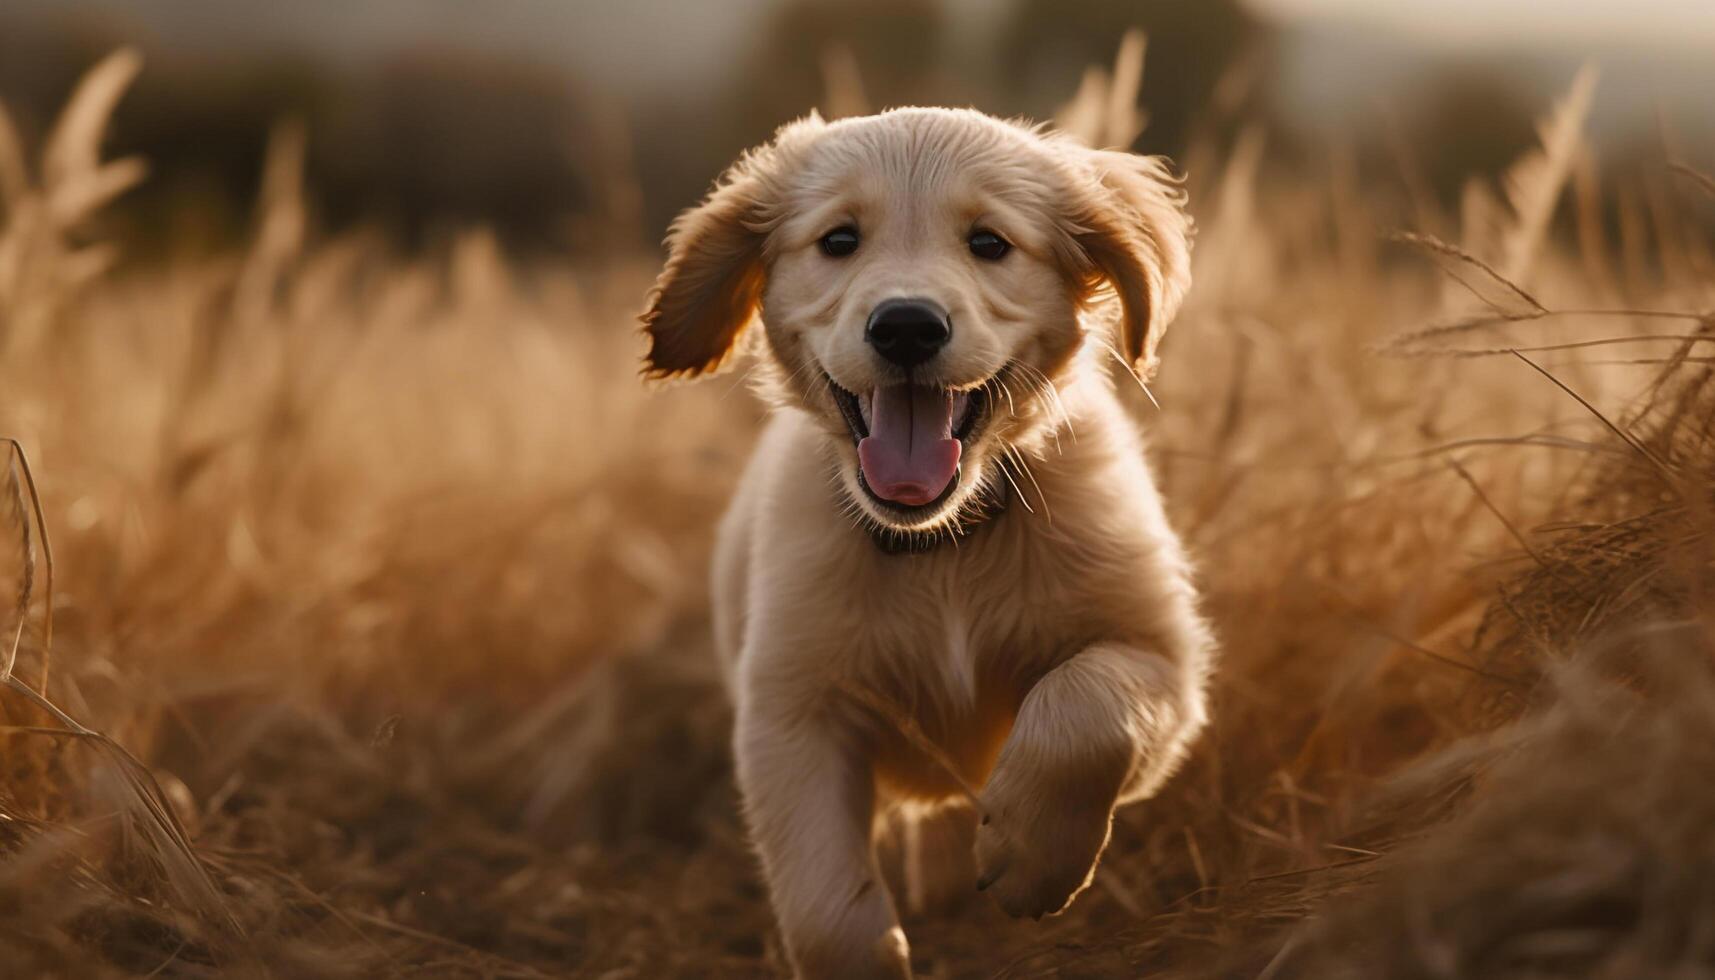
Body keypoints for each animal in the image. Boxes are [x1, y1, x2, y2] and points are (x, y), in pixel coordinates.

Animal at [637, 109, 1214, 980]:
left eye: (989, 243)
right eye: (839, 240)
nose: (905, 326)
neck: (940, 543)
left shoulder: (1163, 660)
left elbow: (1085, 709)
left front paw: (1031, 855)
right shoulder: (791, 711)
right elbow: (825, 912)